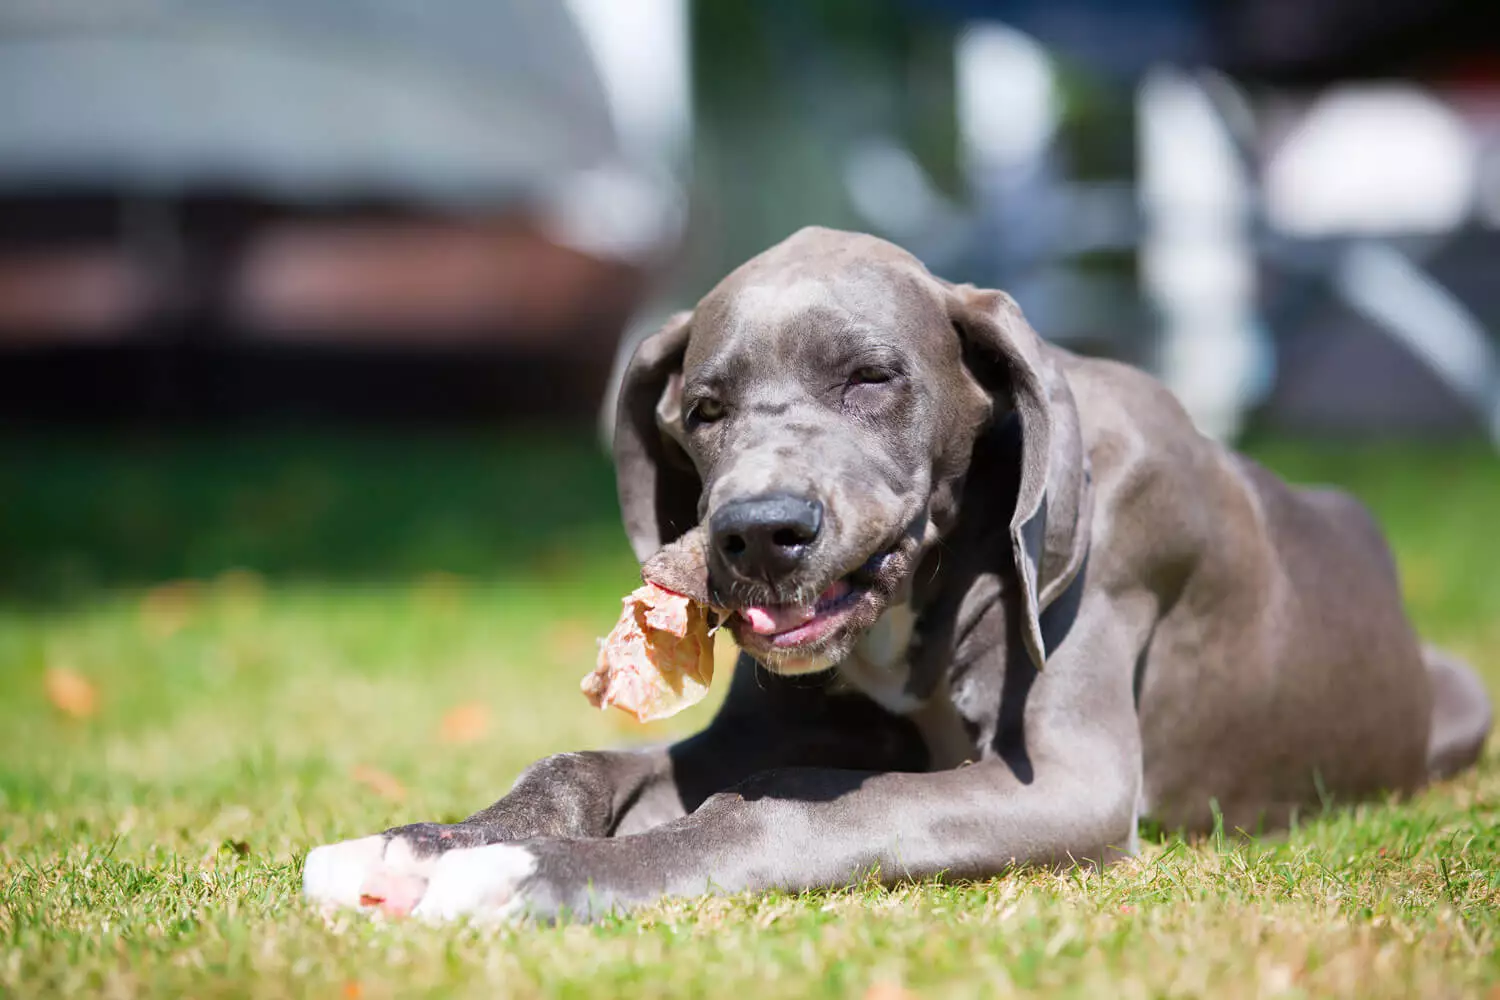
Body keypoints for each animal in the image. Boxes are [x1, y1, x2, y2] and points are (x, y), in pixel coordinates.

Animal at [301, 226, 1488, 923]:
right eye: (704, 409)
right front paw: (423, 844)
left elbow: (785, 810)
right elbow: (580, 763)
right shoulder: (762, 730)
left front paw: (533, 873)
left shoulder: (1071, 782)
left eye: (872, 379)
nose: (758, 534)